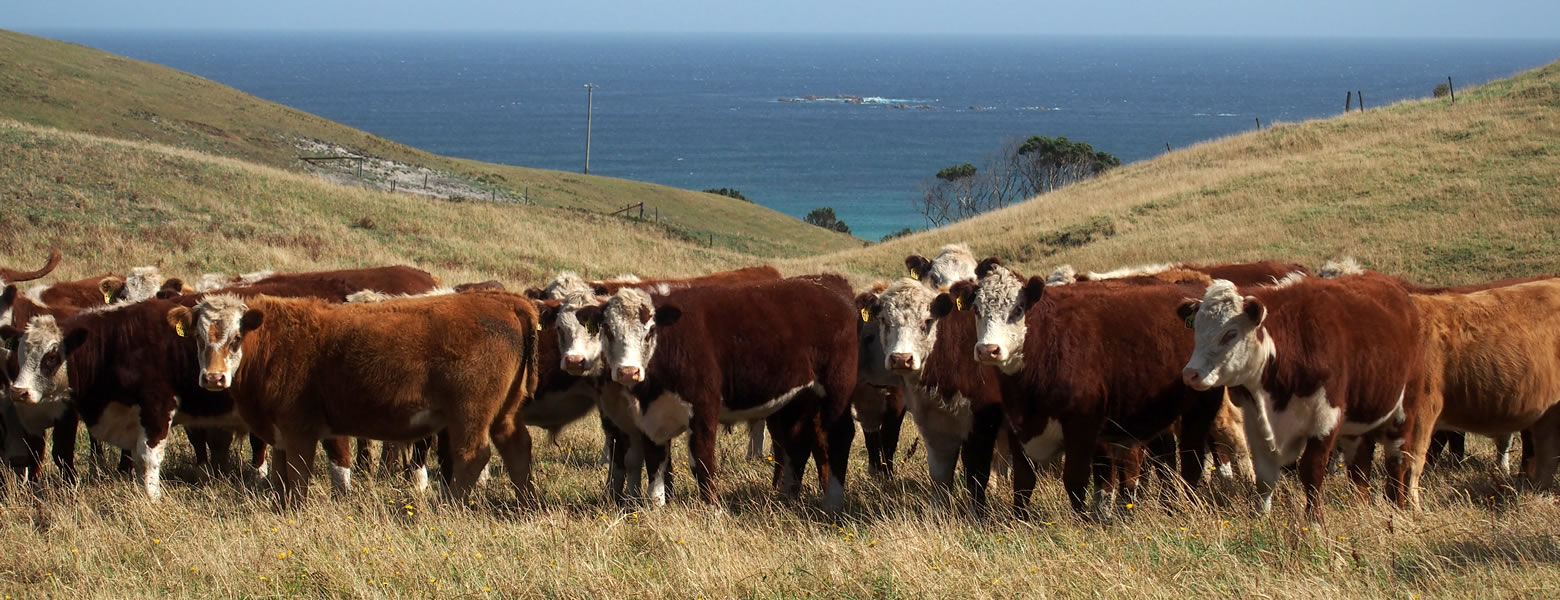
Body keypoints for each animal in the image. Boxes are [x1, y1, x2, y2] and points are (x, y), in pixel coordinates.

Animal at [173, 286, 542, 501]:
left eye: (236, 338)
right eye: (198, 338)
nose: (213, 378)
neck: (274, 341)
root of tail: (504, 301)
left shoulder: (300, 428)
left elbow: (297, 475)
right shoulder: (279, 432)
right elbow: (279, 475)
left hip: (469, 413)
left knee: (473, 456)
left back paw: (448, 505)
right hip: (504, 412)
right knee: (517, 448)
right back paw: (524, 502)